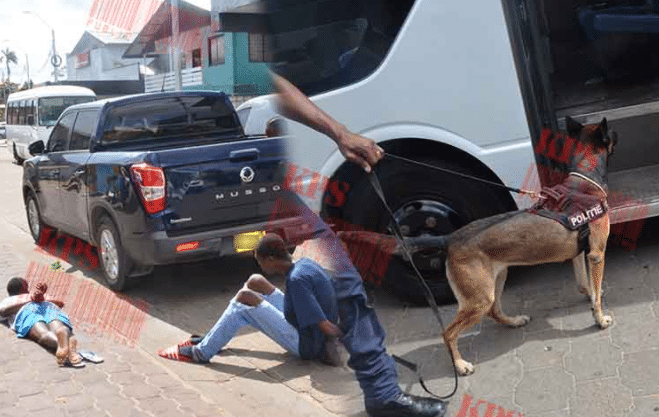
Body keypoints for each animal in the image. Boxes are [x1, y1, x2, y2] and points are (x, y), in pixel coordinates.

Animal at [340, 116, 620, 374]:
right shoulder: (596, 254)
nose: (618, 132)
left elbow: (586, 285)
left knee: (493, 312)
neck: (584, 179)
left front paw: (592, 297)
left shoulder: (579, 254)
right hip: (479, 298)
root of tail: (450, 238)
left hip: (495, 281)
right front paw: (599, 318)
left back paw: (513, 321)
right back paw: (460, 365)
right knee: (449, 332)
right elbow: (595, 293)